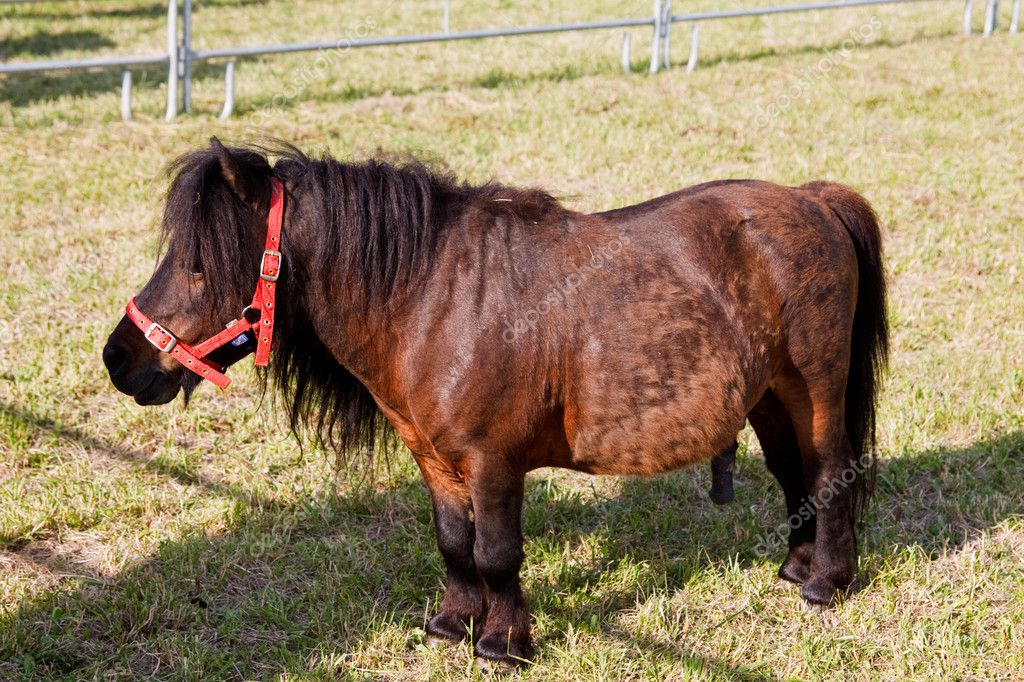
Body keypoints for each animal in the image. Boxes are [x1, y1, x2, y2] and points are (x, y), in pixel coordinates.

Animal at [105, 138, 888, 667]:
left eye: (200, 263)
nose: (120, 359)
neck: (432, 299)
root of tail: (813, 199)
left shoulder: (494, 461)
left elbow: (499, 552)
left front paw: (505, 640)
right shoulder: (434, 460)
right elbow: (456, 545)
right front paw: (453, 624)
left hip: (814, 388)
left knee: (830, 470)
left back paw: (828, 582)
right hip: (768, 396)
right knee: (793, 473)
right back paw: (795, 566)